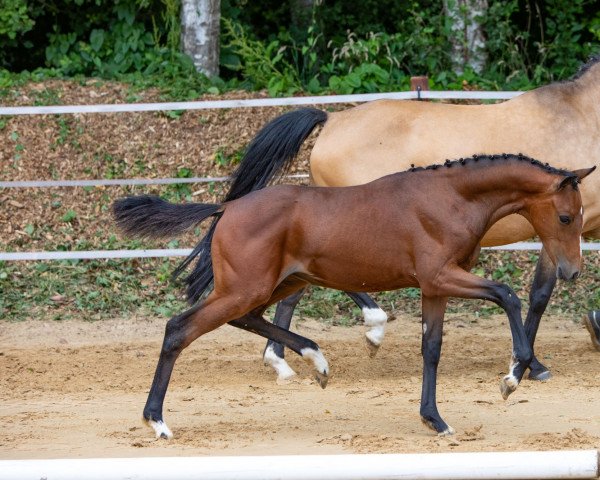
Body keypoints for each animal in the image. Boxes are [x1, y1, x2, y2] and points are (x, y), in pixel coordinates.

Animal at [113, 155, 596, 438]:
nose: (571, 272)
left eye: (580, 215)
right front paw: (514, 376)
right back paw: (157, 420)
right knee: (180, 328)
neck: (450, 198)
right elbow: (507, 295)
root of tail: (226, 207)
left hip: (276, 284)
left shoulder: (434, 287)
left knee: (248, 319)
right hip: (246, 287)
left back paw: (316, 359)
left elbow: (432, 348)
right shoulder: (443, 275)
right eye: (565, 216)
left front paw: (434, 418)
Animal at [210, 53, 600, 382]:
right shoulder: (561, 232)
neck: (583, 118)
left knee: (296, 290)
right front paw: (532, 365)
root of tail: (333, 119)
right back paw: (369, 328)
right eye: (566, 217)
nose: (573, 273)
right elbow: (540, 294)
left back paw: (283, 361)